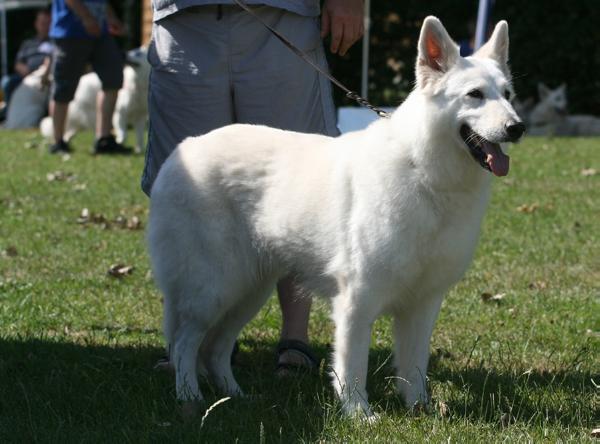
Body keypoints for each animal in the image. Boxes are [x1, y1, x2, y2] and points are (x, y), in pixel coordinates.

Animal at [148, 16, 524, 420]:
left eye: (508, 94)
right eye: (475, 95)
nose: (518, 128)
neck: (423, 170)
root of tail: (181, 152)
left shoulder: (423, 303)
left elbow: (414, 366)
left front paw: (419, 409)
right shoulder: (357, 301)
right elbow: (352, 365)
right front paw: (360, 415)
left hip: (248, 290)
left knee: (215, 348)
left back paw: (236, 396)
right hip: (214, 289)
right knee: (185, 344)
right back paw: (189, 397)